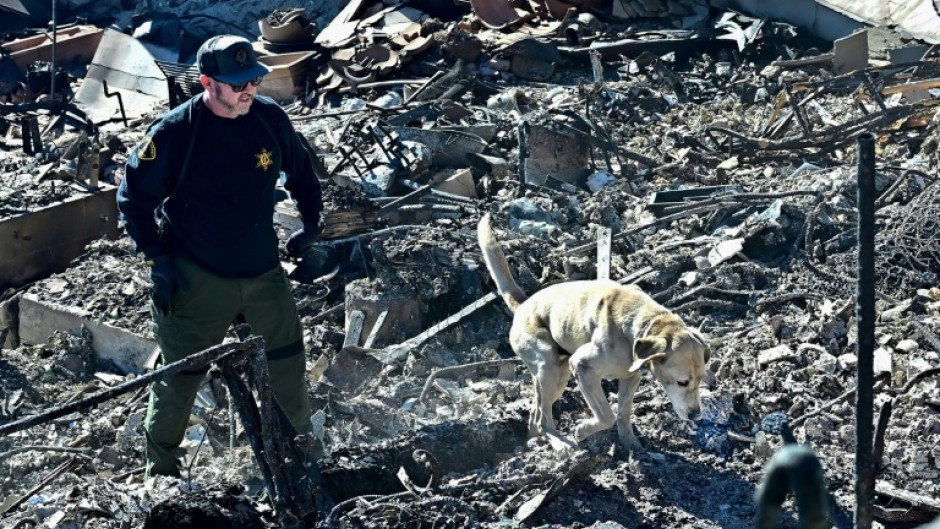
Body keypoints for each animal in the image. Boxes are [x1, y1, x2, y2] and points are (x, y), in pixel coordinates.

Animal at [482, 213, 708, 450]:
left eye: (701, 379)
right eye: (682, 382)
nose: (696, 415)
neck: (640, 325)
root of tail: (522, 305)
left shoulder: (631, 377)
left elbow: (623, 413)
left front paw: (629, 443)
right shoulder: (583, 367)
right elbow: (607, 415)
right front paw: (582, 430)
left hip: (557, 374)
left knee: (537, 411)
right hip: (550, 366)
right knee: (543, 418)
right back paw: (560, 443)